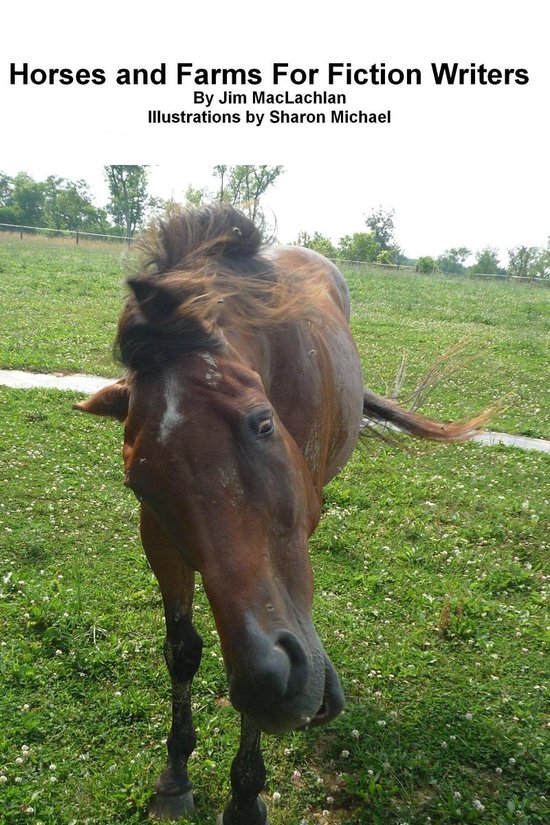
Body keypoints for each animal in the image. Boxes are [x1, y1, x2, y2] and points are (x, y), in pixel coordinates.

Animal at [75, 205, 492, 824]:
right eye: (139, 482)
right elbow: (182, 651)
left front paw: (246, 794)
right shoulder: (161, 539)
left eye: (263, 423)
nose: (273, 686)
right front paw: (175, 774)